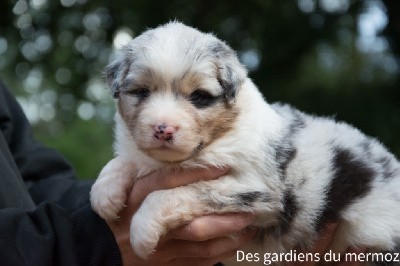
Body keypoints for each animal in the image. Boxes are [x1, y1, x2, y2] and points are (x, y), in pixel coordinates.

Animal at [90, 21, 400, 262]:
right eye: (141, 92)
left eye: (199, 97)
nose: (162, 130)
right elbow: (123, 161)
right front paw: (105, 193)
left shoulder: (255, 189)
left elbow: (174, 193)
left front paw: (142, 231)